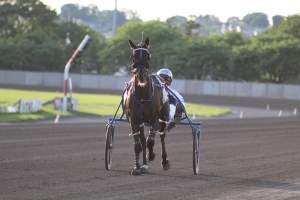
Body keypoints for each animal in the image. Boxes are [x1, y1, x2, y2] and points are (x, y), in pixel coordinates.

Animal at [123, 37, 170, 175]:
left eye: (148, 55)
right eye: (133, 56)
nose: (141, 75)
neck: (142, 96)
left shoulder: (154, 119)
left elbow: (151, 141)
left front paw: (152, 155)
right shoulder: (134, 121)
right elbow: (138, 145)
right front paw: (137, 167)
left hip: (163, 117)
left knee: (162, 136)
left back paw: (164, 161)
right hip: (141, 123)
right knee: (143, 141)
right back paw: (144, 165)